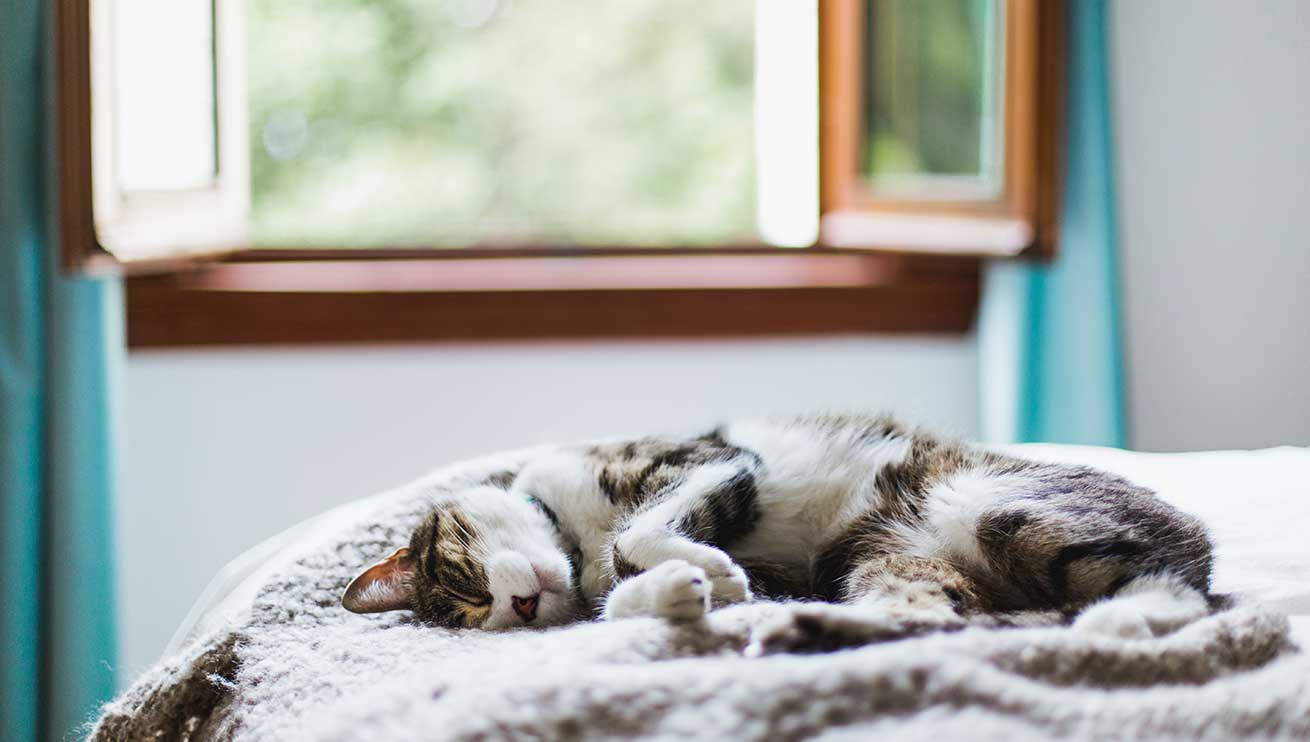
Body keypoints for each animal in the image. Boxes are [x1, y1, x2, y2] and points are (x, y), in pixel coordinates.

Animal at [343, 414, 1210, 644]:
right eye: (480, 615)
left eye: (465, 578)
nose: (519, 606)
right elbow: (616, 597)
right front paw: (689, 589)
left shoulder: (713, 462)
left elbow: (633, 537)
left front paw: (694, 571)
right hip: (879, 564)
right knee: (938, 623)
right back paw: (796, 632)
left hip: (989, 504)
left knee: (1183, 588)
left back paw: (1125, 619)